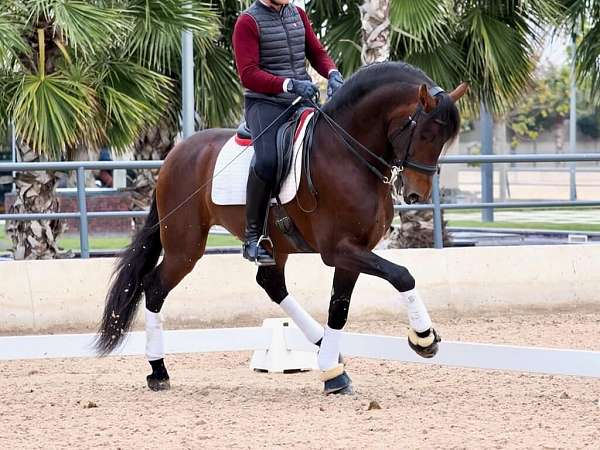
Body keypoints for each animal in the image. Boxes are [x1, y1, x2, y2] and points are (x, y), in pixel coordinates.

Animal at [96, 62, 466, 394]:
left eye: (444, 139)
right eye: (426, 133)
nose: (416, 193)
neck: (347, 154)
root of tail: (174, 155)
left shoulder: (353, 252)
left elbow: (339, 309)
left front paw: (332, 371)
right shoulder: (339, 250)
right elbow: (402, 275)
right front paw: (423, 338)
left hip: (275, 243)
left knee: (271, 284)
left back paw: (321, 345)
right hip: (184, 246)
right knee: (155, 288)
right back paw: (158, 370)